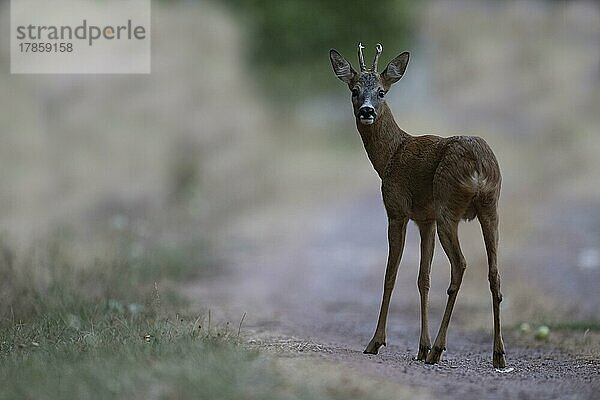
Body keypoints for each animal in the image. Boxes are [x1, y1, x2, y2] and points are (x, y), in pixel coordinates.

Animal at [328, 43, 506, 368]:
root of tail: (477, 164)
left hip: (449, 207)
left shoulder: (397, 211)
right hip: (491, 207)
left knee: (460, 264)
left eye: (382, 91)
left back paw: (438, 350)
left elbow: (390, 275)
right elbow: (424, 278)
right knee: (494, 272)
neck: (390, 155)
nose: (367, 111)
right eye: (354, 90)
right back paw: (497, 354)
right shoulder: (426, 219)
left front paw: (376, 342)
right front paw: (420, 347)